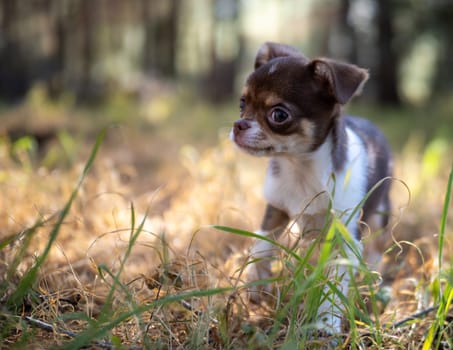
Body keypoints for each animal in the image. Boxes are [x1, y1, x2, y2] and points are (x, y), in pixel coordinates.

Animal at [230, 43, 392, 334]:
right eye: (242, 104)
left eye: (279, 115)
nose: (238, 125)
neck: (301, 169)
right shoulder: (275, 209)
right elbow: (261, 244)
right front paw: (255, 282)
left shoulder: (344, 238)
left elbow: (335, 281)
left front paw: (327, 323)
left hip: (380, 215)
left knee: (375, 250)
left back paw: (372, 281)